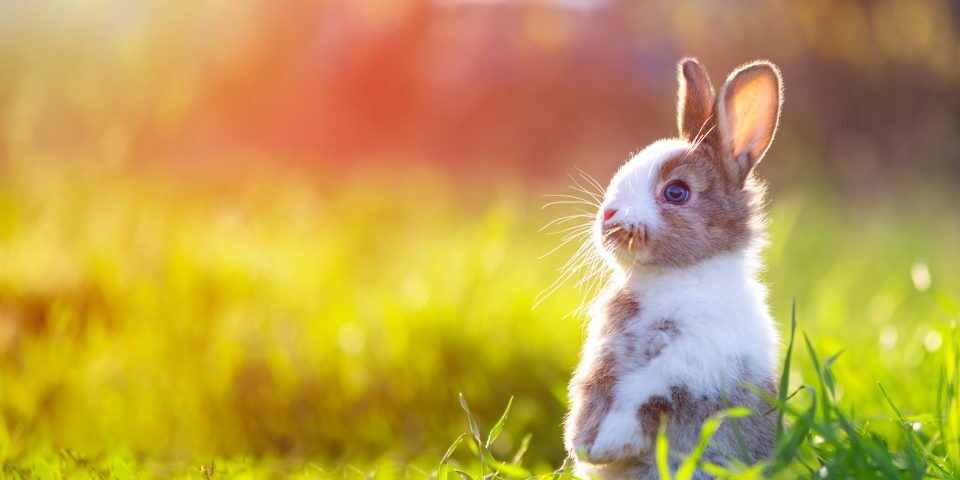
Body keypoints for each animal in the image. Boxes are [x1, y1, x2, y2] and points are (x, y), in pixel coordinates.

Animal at [562, 58, 784, 479]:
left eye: (676, 192)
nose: (607, 216)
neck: (671, 277)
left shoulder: (686, 368)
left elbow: (643, 401)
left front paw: (606, 447)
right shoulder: (603, 358)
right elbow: (589, 392)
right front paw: (582, 448)